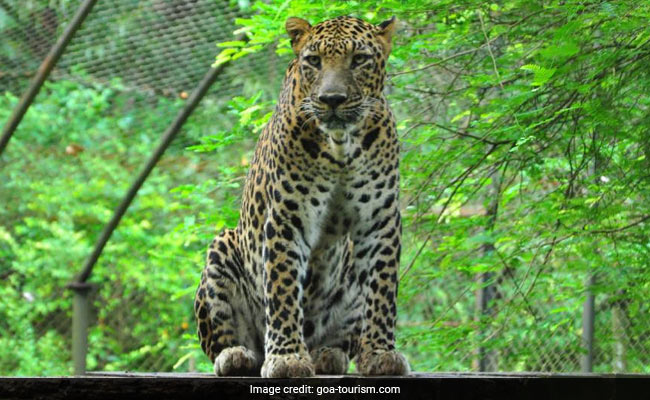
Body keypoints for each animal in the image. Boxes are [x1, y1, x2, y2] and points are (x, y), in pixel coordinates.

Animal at [192, 14, 408, 378]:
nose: (332, 98)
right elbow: (282, 289)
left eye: (359, 60)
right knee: (228, 342)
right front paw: (287, 358)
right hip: (222, 249)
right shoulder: (286, 217)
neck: (340, 146)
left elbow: (381, 289)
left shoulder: (380, 219)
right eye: (314, 61)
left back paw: (327, 354)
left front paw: (380, 354)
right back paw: (237, 356)